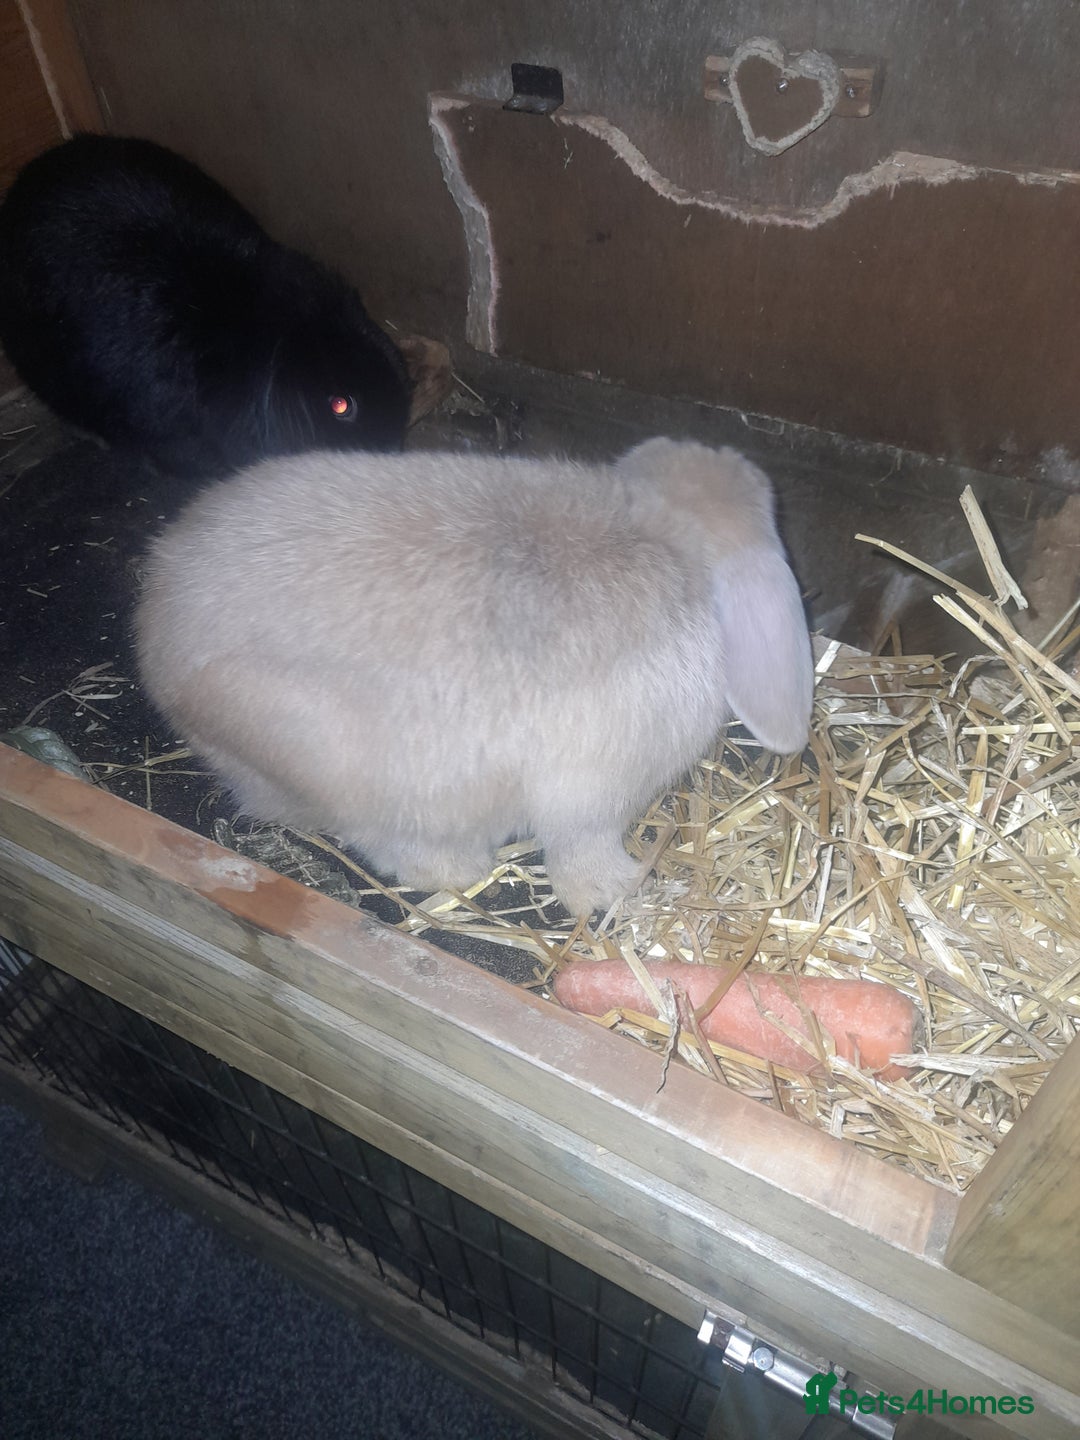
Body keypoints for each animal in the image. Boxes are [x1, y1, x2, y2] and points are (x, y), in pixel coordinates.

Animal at [134, 438, 815, 915]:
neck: (668, 536)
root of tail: (156, 645)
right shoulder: (595, 796)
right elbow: (579, 854)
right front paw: (619, 892)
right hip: (341, 763)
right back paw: (457, 871)